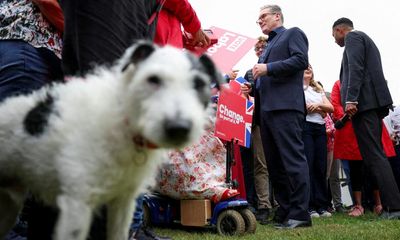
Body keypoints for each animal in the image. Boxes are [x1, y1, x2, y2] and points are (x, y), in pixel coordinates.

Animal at [0, 41, 220, 240]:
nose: (179, 128)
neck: (125, 120)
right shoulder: (77, 203)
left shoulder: (123, 202)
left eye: (199, 84)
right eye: (153, 79)